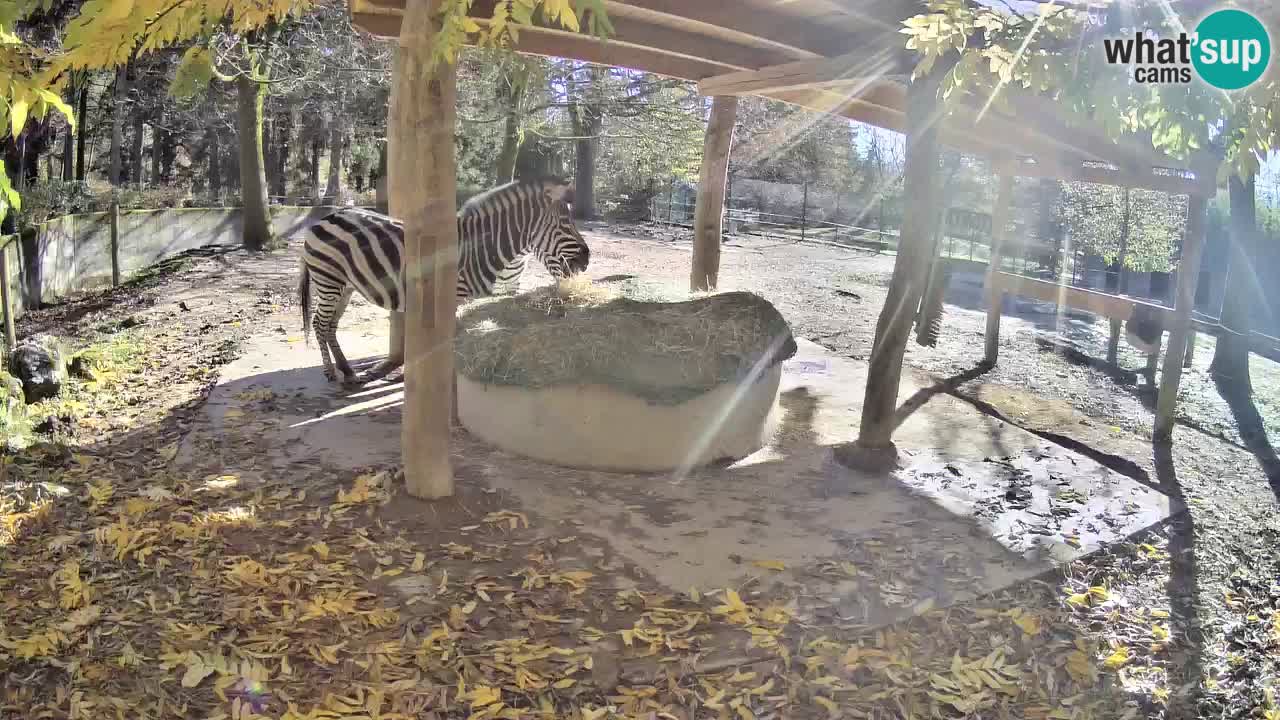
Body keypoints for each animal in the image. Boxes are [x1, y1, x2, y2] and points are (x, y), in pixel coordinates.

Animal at [297, 177, 590, 385]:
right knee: (320, 323)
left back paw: (347, 371)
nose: (587, 258)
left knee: (330, 325)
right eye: (565, 222)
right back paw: (331, 373)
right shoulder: (454, 295)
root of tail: (326, 217)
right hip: (328, 280)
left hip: (345, 285)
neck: (479, 248)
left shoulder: (494, 296)